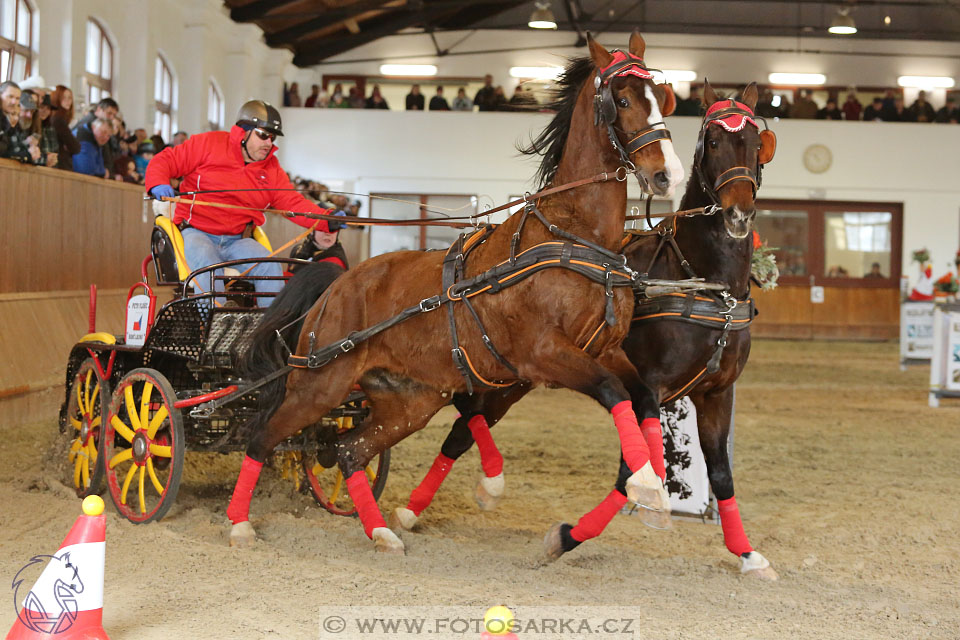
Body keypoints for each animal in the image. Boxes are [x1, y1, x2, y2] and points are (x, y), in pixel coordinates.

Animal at [228, 30, 688, 552]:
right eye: (623, 100)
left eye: (663, 99)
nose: (668, 175)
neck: (573, 236)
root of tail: (337, 284)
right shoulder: (545, 354)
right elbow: (613, 391)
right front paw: (647, 485)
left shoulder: (604, 349)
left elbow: (643, 396)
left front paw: (654, 493)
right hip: (319, 385)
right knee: (262, 437)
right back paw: (239, 524)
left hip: (411, 401)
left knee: (348, 450)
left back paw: (381, 531)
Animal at [398, 81, 780, 580]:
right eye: (712, 141)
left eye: (757, 143)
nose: (738, 215)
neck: (703, 282)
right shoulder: (650, 387)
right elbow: (629, 470)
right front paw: (567, 537)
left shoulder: (718, 394)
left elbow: (720, 475)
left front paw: (748, 554)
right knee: (461, 419)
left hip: (515, 377)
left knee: (463, 428)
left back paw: (424, 506)